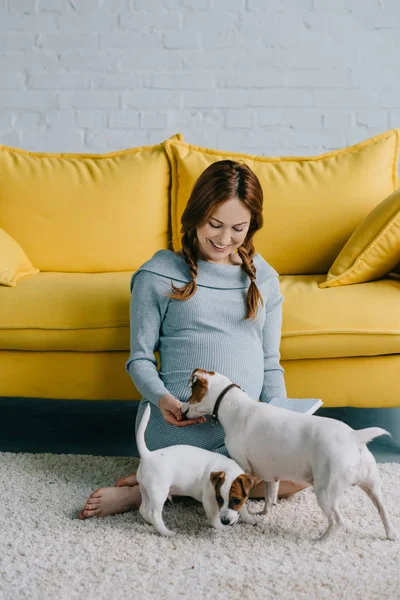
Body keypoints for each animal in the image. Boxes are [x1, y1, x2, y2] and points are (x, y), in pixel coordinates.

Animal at [135, 404, 260, 536]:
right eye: (219, 499)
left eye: (236, 500)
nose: (225, 521)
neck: (227, 469)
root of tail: (148, 455)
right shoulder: (209, 500)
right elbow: (213, 518)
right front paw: (221, 527)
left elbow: (244, 509)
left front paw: (249, 519)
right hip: (158, 493)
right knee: (154, 514)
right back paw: (165, 531)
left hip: (145, 490)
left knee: (143, 509)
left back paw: (150, 522)